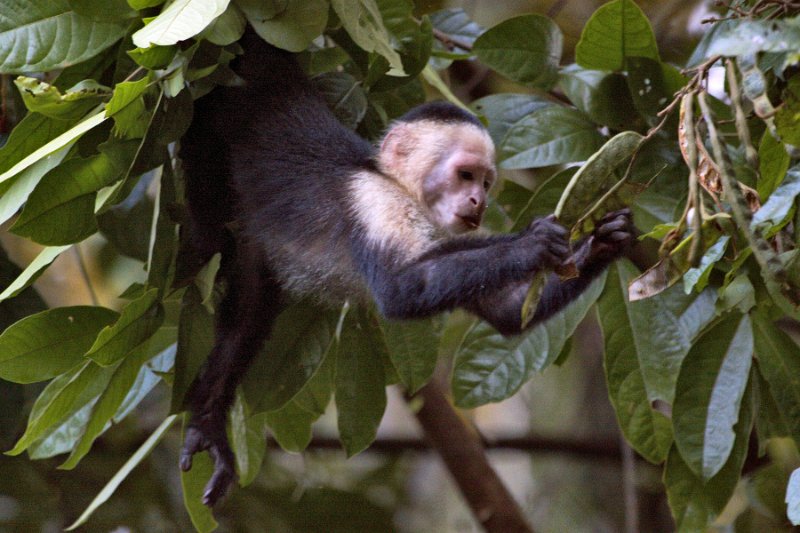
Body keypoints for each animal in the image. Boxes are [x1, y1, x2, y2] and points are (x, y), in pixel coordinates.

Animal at [178, 29, 636, 502]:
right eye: (465, 175)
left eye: (486, 181)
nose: (480, 201)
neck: (394, 183)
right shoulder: (376, 202)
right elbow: (403, 290)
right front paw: (533, 242)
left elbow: (506, 311)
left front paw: (605, 242)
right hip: (207, 118)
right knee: (211, 227)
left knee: (247, 316)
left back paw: (206, 423)